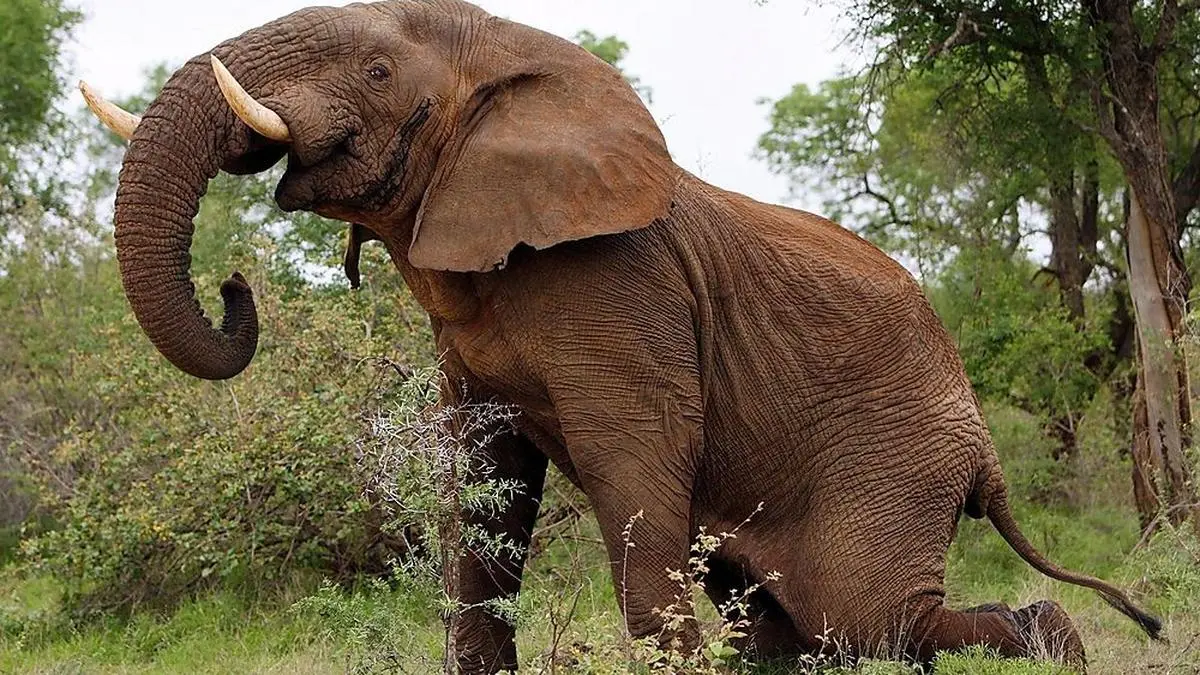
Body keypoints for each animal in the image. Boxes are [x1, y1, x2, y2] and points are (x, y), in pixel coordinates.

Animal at [82, 1, 1161, 672]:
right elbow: (484, 490)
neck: (508, 54)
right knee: (809, 632)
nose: (235, 287)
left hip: (896, 463)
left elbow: (629, 460)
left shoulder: (619, 290)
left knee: (871, 618)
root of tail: (984, 454)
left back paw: (1058, 646)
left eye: (378, 69)